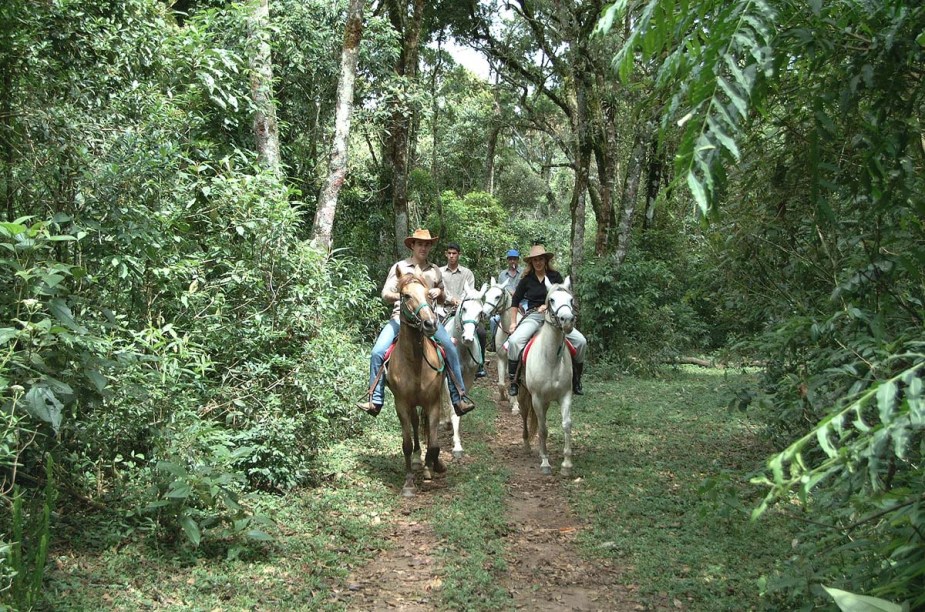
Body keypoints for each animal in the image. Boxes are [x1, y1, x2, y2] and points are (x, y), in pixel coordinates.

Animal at [386, 274, 448, 494]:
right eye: (405, 295)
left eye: (429, 293)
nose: (430, 324)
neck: (415, 363)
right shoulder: (401, 404)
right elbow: (406, 442)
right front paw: (409, 482)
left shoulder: (433, 402)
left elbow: (435, 443)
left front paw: (431, 469)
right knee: (414, 423)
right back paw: (416, 459)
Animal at [438, 280, 488, 454]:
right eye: (464, 308)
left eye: (480, 312)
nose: (467, 338)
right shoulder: (450, 377)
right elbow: (451, 404)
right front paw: (457, 445)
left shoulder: (468, 378)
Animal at [484, 278, 520, 416]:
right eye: (486, 294)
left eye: (498, 296)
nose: (483, 313)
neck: (509, 331)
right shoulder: (501, 358)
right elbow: (501, 383)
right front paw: (505, 397)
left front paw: (515, 406)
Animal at [516, 278, 572, 478]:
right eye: (552, 300)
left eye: (571, 299)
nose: (567, 320)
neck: (551, 359)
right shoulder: (537, 399)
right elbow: (542, 428)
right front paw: (545, 462)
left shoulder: (565, 395)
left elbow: (566, 425)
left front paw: (566, 464)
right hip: (523, 394)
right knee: (526, 415)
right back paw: (526, 445)